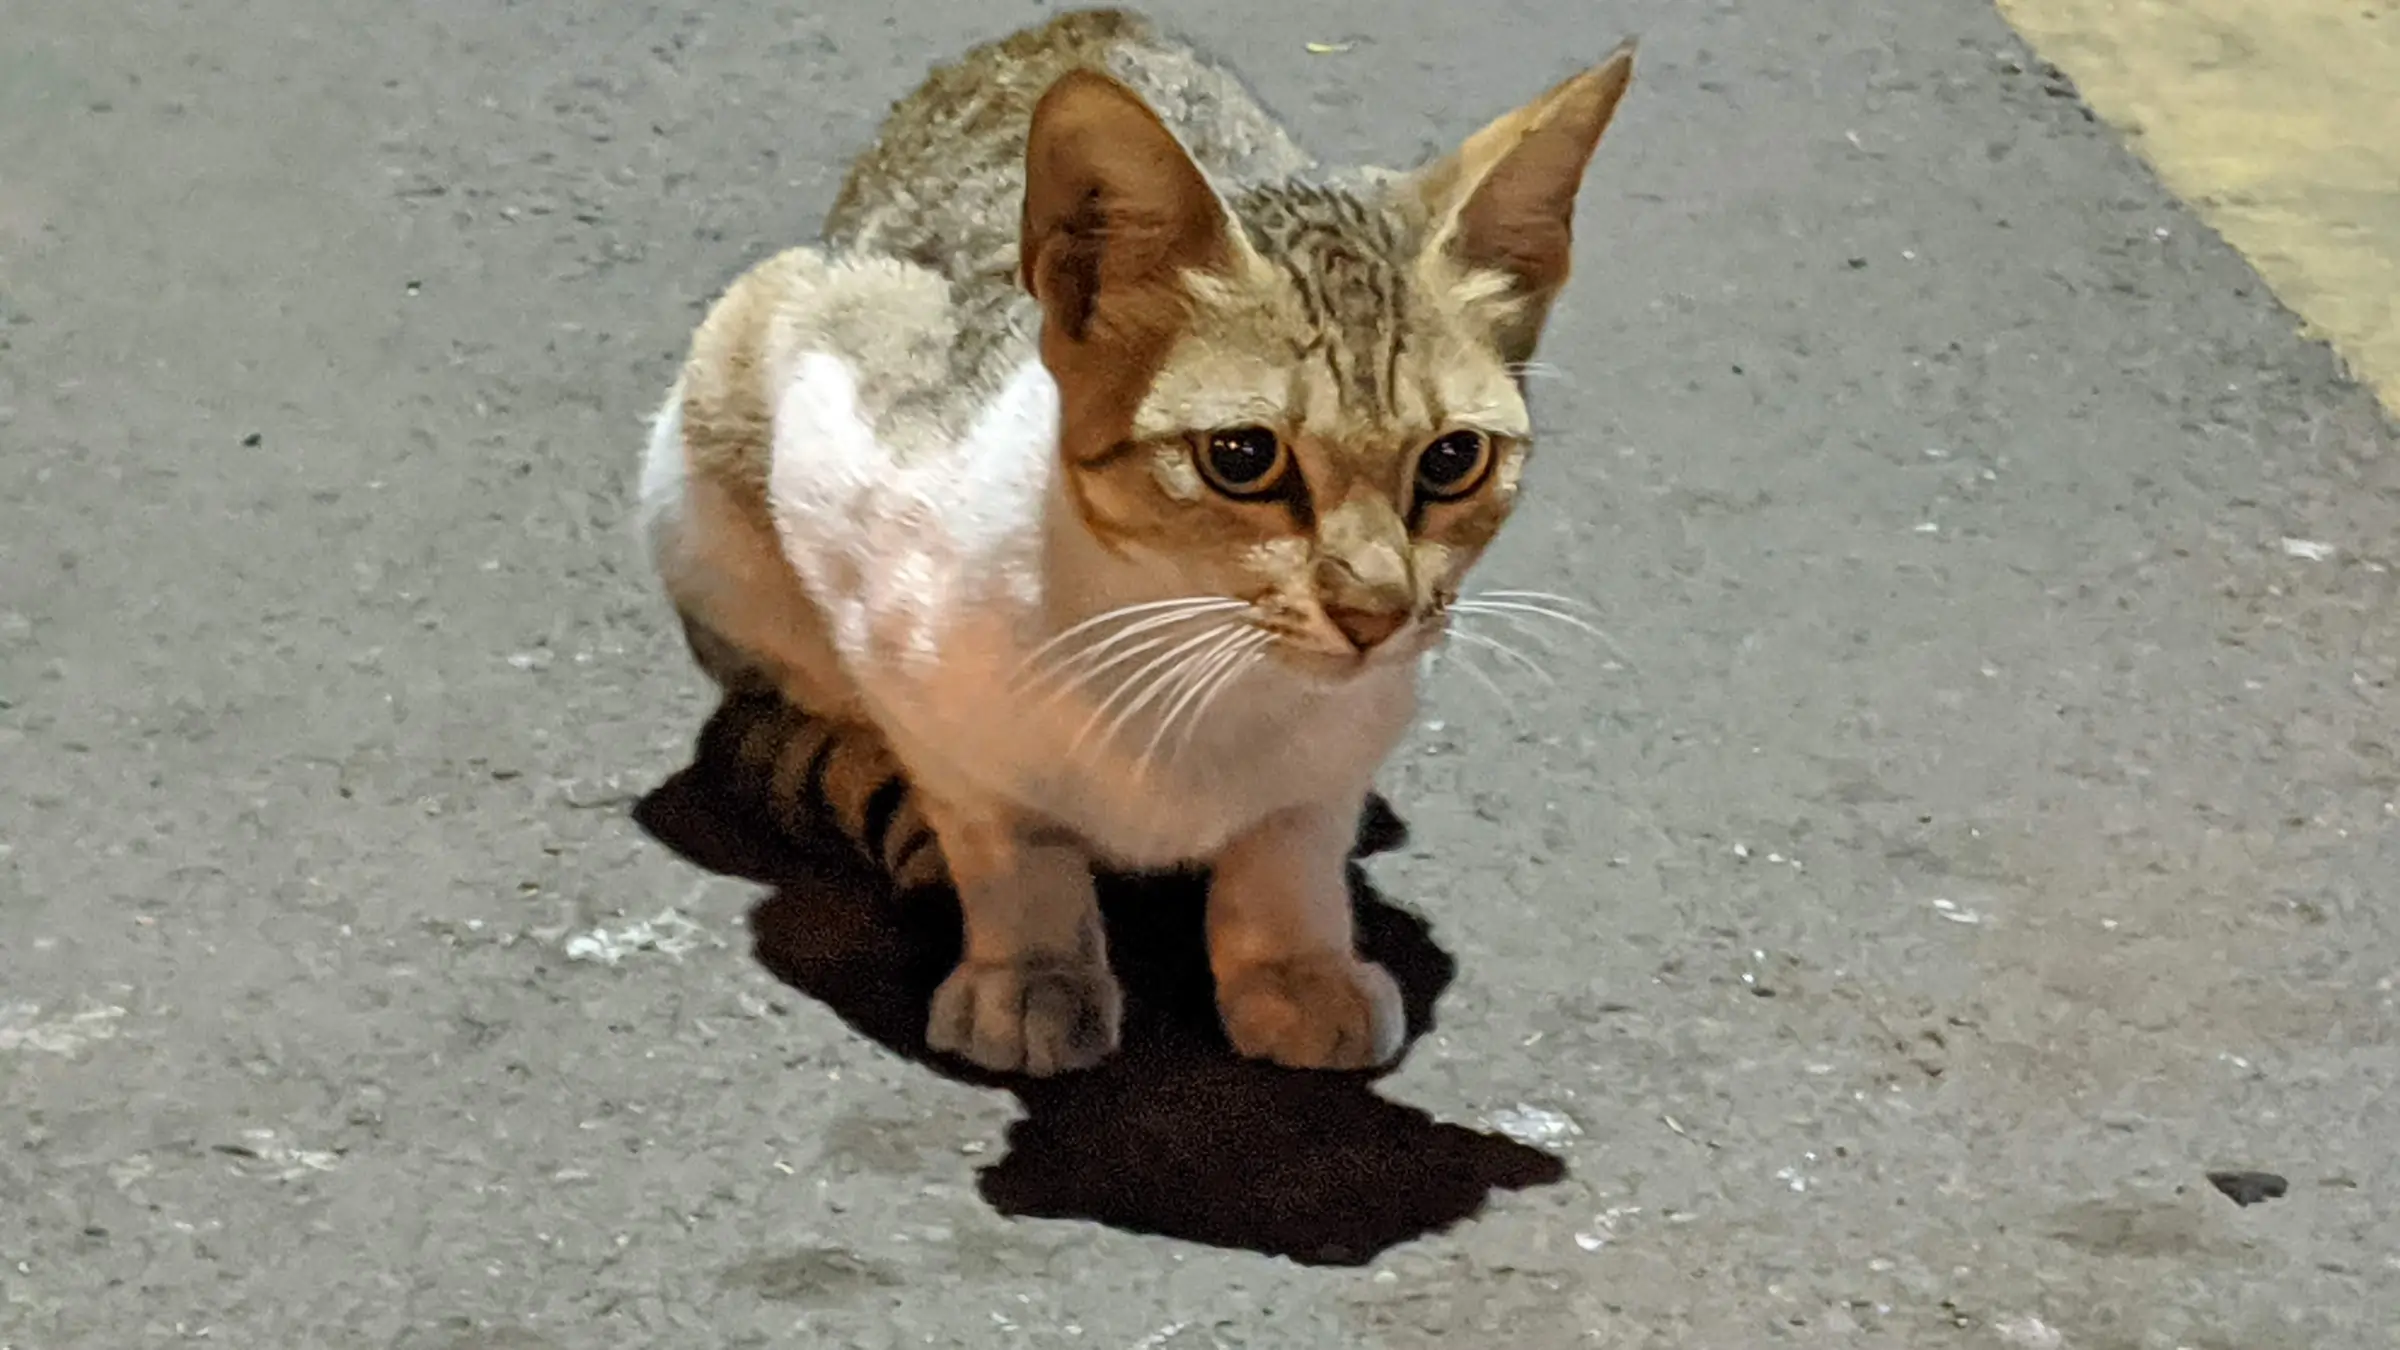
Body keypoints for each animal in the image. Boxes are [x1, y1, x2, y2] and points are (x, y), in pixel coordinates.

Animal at [643, 7, 1632, 1071]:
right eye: (1241, 456)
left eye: (1453, 459)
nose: (1375, 609)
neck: (1196, 659)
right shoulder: (853, 491)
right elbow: (1002, 829)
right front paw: (1033, 966)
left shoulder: (1360, 732)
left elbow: (1294, 836)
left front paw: (1293, 962)